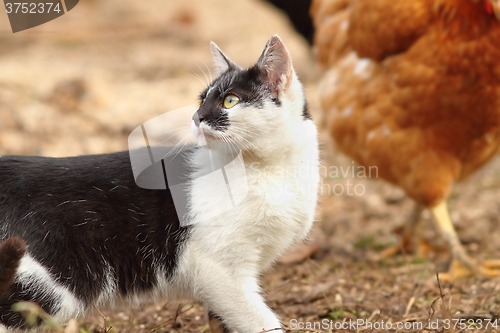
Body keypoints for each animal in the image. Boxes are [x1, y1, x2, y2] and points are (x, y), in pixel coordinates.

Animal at [0, 35, 320, 332]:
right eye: (202, 99)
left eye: (230, 100)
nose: (196, 116)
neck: (267, 169)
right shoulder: (219, 270)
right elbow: (260, 321)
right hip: (41, 285)